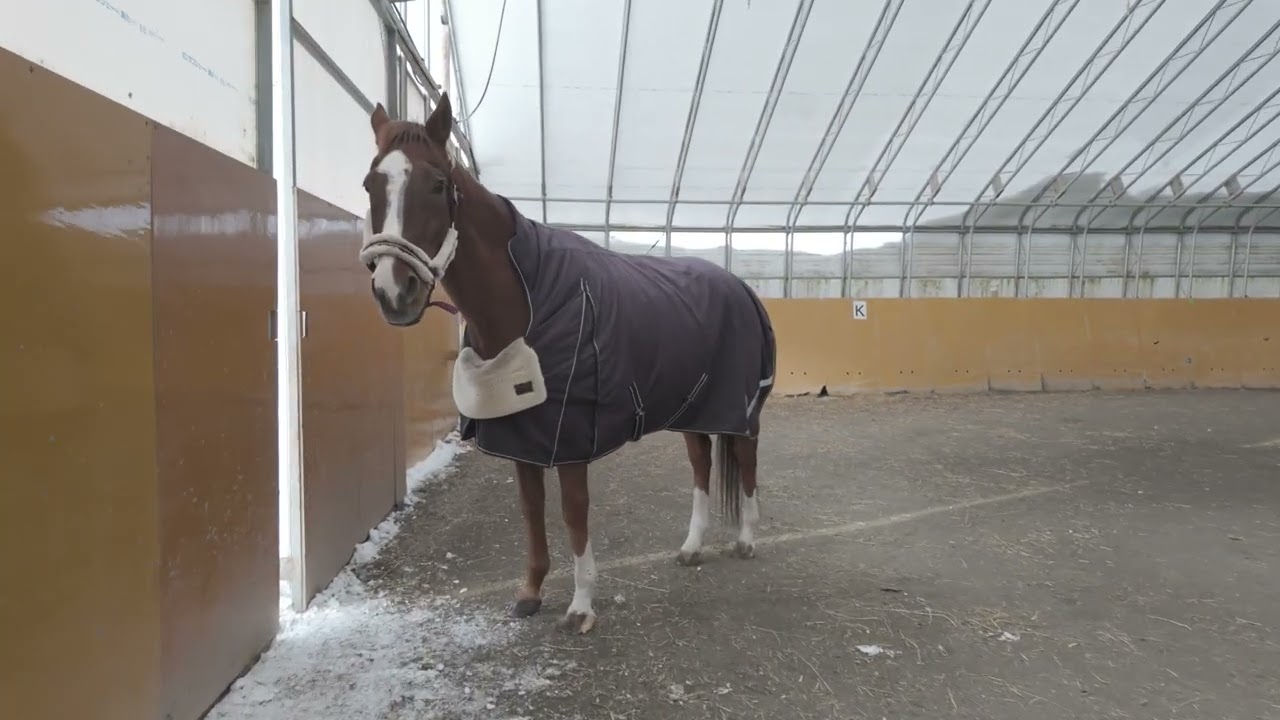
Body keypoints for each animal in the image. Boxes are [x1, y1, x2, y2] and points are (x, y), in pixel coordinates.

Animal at [357, 93, 777, 634]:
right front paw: (531, 592)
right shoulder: (522, 439)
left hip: (740, 409)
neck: (529, 299)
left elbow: (573, 513)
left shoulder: (572, 439)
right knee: (702, 466)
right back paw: (691, 547)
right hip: (693, 409)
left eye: (436, 184)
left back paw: (746, 539)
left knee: (745, 460)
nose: (394, 292)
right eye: (371, 185)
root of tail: (741, 288)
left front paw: (581, 606)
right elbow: (532, 512)